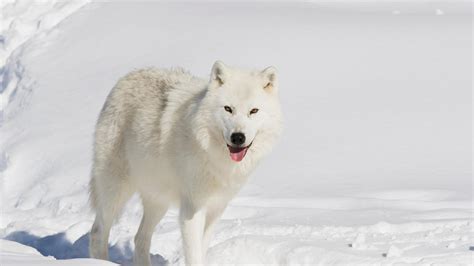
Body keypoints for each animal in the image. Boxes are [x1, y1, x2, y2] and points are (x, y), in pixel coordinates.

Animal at [89, 61, 282, 264]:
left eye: (253, 111)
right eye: (228, 109)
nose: (238, 137)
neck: (213, 156)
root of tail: (126, 77)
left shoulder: (216, 209)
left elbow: (202, 250)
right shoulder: (192, 210)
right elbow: (194, 255)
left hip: (158, 200)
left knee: (140, 237)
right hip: (116, 189)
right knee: (98, 232)